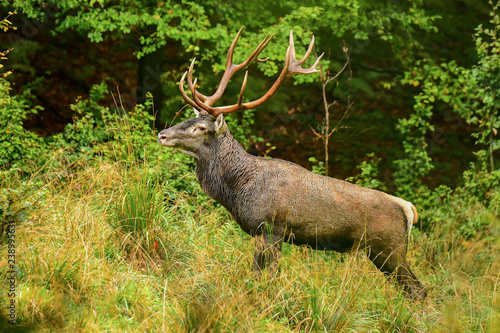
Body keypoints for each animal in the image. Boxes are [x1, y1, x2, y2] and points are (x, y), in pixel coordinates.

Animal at [158, 27, 428, 300]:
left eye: (201, 127)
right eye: (188, 119)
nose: (162, 134)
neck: (237, 189)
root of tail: (408, 209)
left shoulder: (272, 228)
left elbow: (265, 278)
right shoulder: (261, 233)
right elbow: (257, 276)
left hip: (389, 248)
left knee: (419, 290)